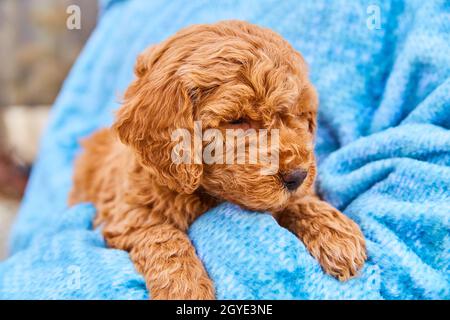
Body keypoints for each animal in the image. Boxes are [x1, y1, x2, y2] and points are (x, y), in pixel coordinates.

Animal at [69, 20, 366, 300]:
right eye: (237, 121)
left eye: (299, 114)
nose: (297, 177)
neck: (204, 192)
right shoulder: (126, 215)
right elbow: (161, 236)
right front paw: (184, 286)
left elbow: (298, 202)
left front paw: (336, 233)